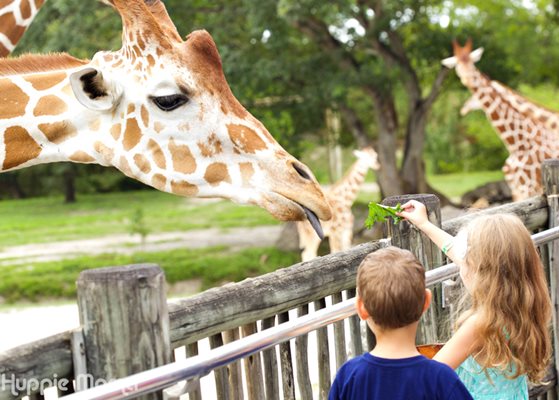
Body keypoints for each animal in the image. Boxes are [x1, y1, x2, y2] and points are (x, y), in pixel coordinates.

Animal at [442, 39, 559, 200]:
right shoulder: (518, 188)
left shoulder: (528, 186)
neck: (518, 144)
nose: (468, 78)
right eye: (457, 65)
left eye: (471, 63)